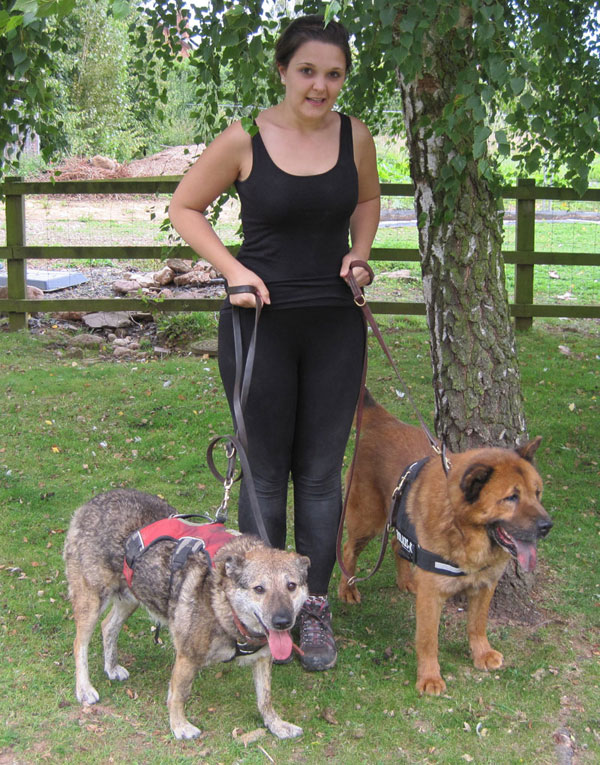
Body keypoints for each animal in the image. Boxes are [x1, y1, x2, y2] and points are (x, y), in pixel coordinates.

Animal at [65, 490, 310, 740]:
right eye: (259, 589)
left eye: (291, 586)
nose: (282, 622)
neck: (223, 604)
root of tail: (94, 501)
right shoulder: (187, 656)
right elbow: (179, 694)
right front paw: (179, 725)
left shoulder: (263, 658)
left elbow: (265, 699)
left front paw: (276, 724)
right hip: (92, 600)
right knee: (79, 644)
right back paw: (84, 689)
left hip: (131, 596)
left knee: (108, 627)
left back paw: (111, 668)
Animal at [338, 390, 552, 696]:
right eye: (511, 497)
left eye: (537, 493)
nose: (547, 526)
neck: (462, 528)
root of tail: (386, 421)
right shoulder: (432, 596)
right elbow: (428, 640)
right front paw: (429, 676)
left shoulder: (485, 585)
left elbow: (477, 624)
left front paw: (481, 652)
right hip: (368, 520)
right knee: (348, 550)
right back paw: (347, 588)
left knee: (397, 546)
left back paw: (407, 580)